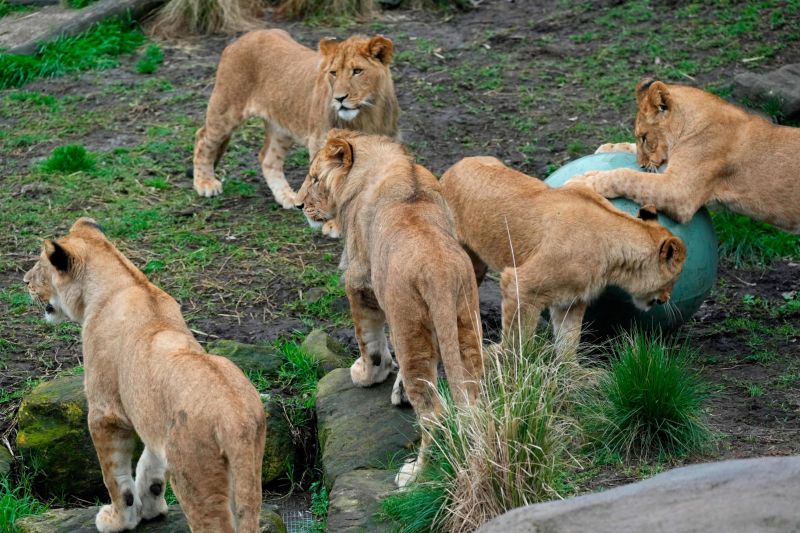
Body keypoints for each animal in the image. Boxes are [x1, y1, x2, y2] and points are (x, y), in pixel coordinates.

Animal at [21, 217, 264, 532]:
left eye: (40, 265)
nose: (25, 281)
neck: (126, 281)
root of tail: (236, 418)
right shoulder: (151, 421)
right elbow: (149, 466)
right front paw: (150, 509)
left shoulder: (106, 412)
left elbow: (115, 477)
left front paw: (117, 520)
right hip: (250, 470)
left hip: (197, 478)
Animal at [294, 130, 482, 486]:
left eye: (314, 178)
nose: (298, 205)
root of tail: (438, 271)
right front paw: (399, 391)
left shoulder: (359, 281)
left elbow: (370, 340)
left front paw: (366, 374)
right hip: (465, 323)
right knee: (473, 399)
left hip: (409, 325)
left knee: (435, 414)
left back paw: (413, 475)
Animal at [440, 157, 684, 358]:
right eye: (674, 280)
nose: (667, 299)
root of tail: (453, 168)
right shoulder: (520, 285)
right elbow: (517, 339)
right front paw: (508, 365)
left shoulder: (571, 300)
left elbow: (569, 340)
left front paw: (572, 374)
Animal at [576, 78, 800, 232]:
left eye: (645, 137)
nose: (640, 164)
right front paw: (607, 148)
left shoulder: (680, 191)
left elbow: (626, 176)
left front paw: (584, 181)